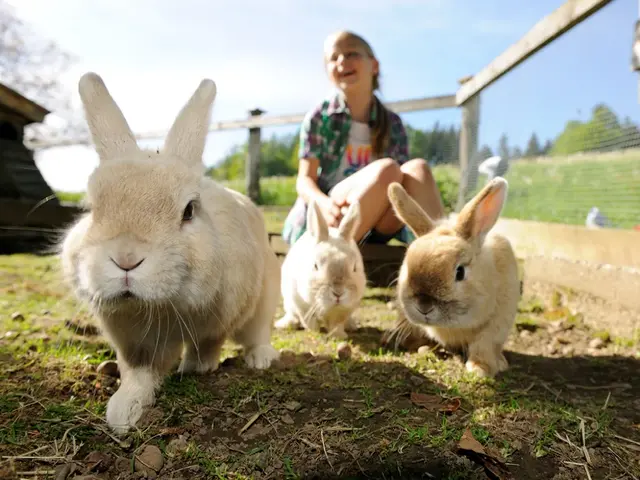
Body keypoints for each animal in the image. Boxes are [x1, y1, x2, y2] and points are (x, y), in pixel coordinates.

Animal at [274, 201, 364, 340]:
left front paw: (339, 336)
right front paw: (315, 332)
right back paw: (284, 324)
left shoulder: (344, 310)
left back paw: (352, 326)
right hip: (288, 302)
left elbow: (337, 324)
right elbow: (308, 320)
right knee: (293, 315)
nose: (338, 293)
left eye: (355, 267)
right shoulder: (299, 302)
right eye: (315, 266)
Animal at [384, 178, 520, 376]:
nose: (424, 306)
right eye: (407, 268)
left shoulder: (497, 323)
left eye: (460, 272)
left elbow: (484, 345)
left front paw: (480, 369)